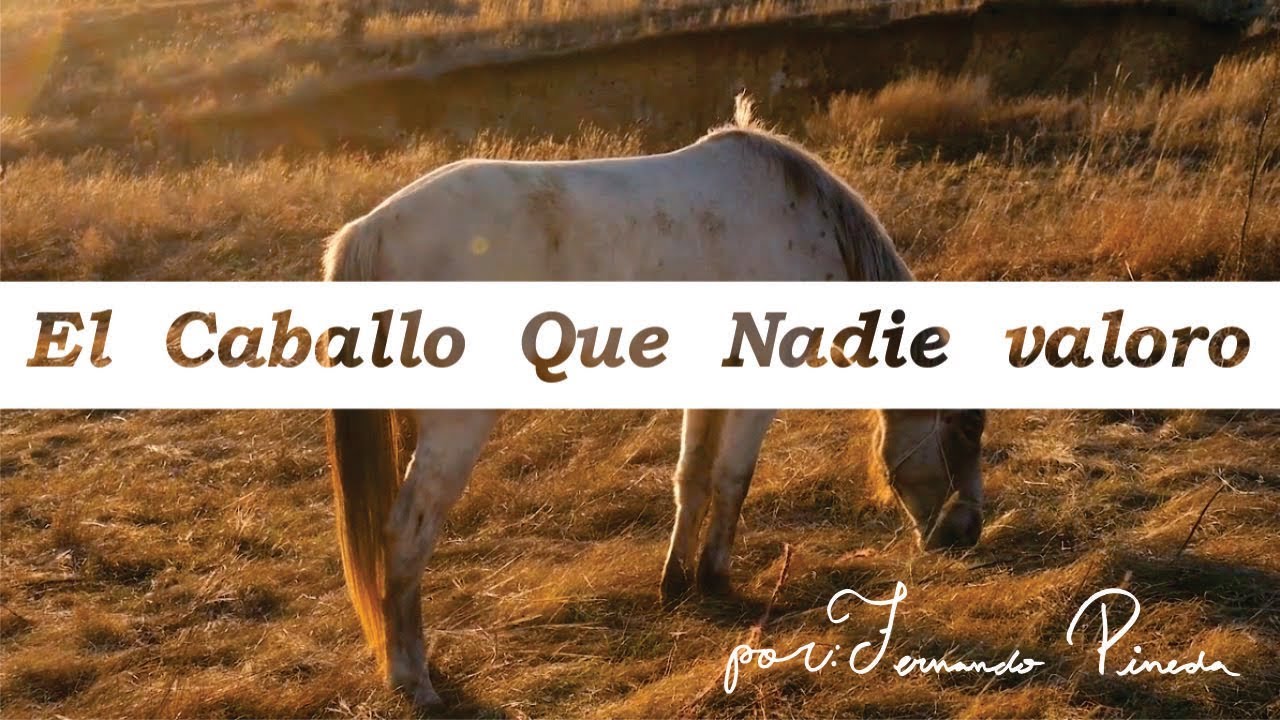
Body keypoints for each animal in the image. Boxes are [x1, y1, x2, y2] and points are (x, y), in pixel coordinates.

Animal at [321, 96, 987, 708]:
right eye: (964, 431)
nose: (967, 534)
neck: (801, 217)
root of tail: (369, 229)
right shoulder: (759, 378)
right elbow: (733, 478)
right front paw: (715, 581)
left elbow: (691, 478)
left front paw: (676, 584)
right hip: (454, 428)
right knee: (406, 535)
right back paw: (414, 681)